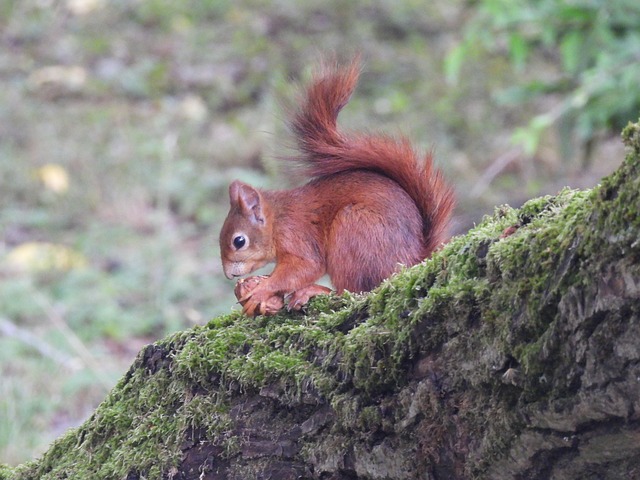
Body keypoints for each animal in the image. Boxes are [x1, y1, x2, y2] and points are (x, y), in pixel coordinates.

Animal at [220, 59, 456, 316]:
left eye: (239, 241)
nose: (229, 275)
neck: (277, 221)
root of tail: (414, 258)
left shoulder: (297, 237)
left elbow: (305, 267)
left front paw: (262, 290)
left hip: (352, 230)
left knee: (350, 291)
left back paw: (315, 291)